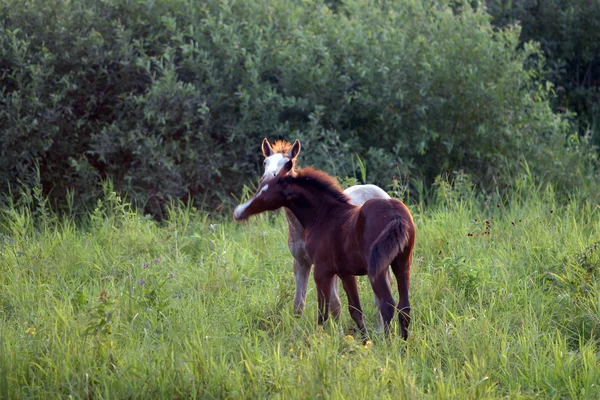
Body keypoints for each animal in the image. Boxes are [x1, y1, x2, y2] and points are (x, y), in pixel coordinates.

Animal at [260, 138, 392, 328]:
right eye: (265, 162)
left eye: (288, 164)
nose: (267, 180)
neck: (306, 225)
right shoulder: (301, 262)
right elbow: (298, 304)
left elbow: (335, 303)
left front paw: (337, 332)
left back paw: (380, 329)